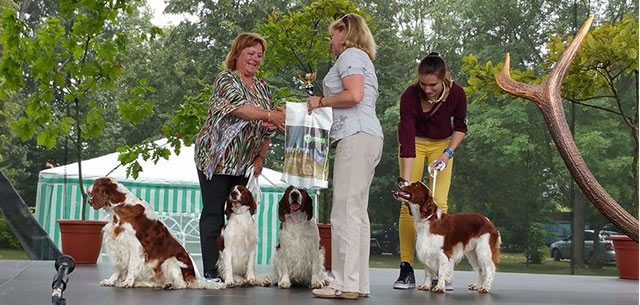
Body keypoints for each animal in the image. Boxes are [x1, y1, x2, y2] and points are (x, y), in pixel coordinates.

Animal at [87, 177, 222, 288]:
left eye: (94, 184)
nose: (87, 189)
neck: (121, 204)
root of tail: (193, 276)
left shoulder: (134, 245)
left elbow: (131, 265)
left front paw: (128, 282)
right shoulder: (118, 245)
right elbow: (118, 267)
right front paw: (111, 281)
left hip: (171, 261)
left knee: (182, 284)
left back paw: (169, 285)